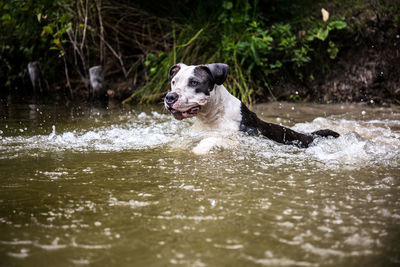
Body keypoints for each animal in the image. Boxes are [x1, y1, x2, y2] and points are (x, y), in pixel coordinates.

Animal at [164, 62, 340, 153]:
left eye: (194, 82)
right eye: (173, 82)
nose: (170, 97)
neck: (212, 116)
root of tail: (310, 135)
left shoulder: (243, 141)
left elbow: (213, 139)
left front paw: (200, 149)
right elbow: (181, 143)